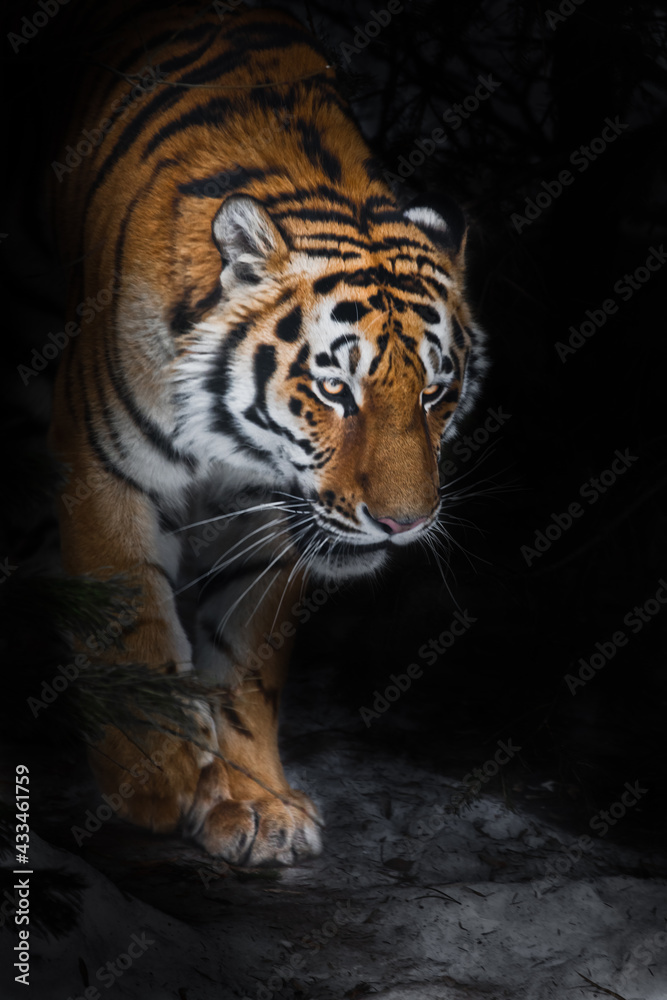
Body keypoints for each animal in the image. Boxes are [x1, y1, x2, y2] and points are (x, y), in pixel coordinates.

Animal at [48, 1, 486, 866]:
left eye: (435, 393)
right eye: (334, 389)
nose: (402, 524)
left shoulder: (272, 522)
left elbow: (246, 666)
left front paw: (255, 803)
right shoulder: (102, 468)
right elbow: (130, 620)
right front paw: (156, 781)